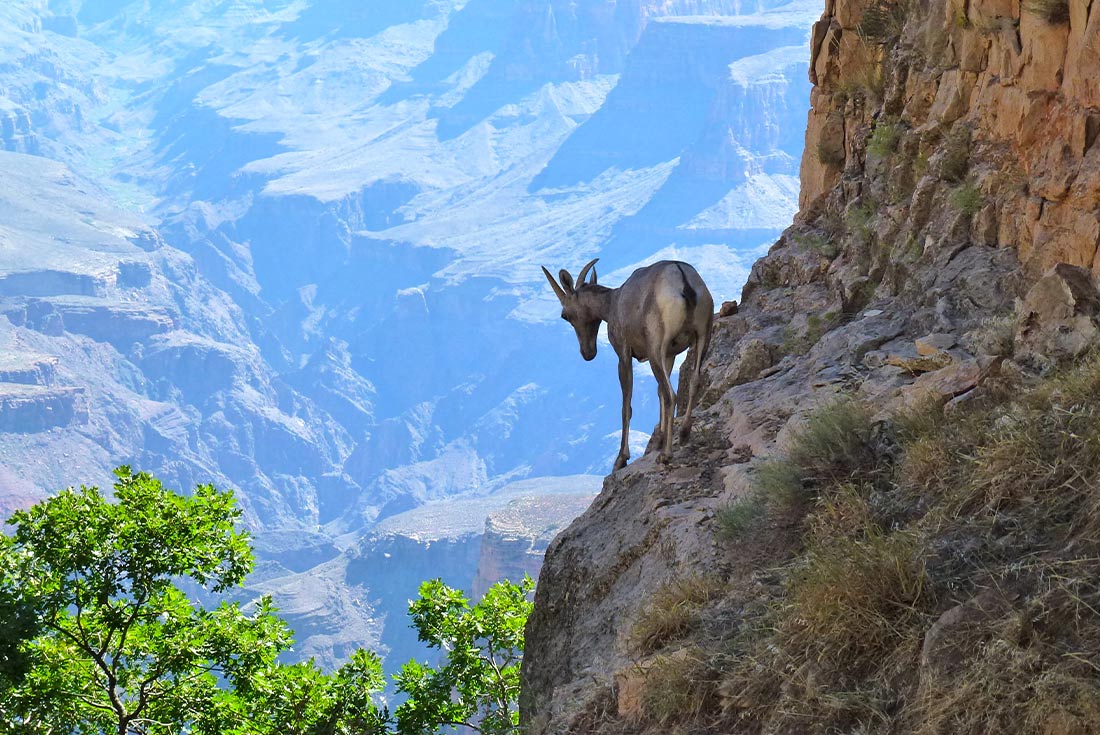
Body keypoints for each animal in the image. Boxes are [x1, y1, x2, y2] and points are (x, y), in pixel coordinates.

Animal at [543, 258, 714, 472]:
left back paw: (666, 455)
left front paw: (621, 459)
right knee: (693, 382)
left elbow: (626, 405)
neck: (613, 303)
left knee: (671, 394)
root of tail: (682, 279)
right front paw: (659, 439)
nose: (587, 353)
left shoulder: (624, 355)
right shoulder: (670, 354)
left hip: (656, 350)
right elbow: (658, 392)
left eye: (565, 315)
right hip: (702, 338)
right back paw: (683, 433)